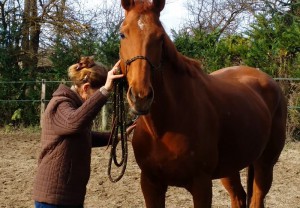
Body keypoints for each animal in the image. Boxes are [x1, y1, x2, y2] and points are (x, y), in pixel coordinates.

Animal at [118, 0, 288, 207]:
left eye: (160, 37)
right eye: (122, 34)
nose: (141, 96)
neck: (163, 127)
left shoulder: (201, 185)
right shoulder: (151, 184)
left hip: (265, 164)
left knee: (256, 198)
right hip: (230, 168)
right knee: (239, 197)